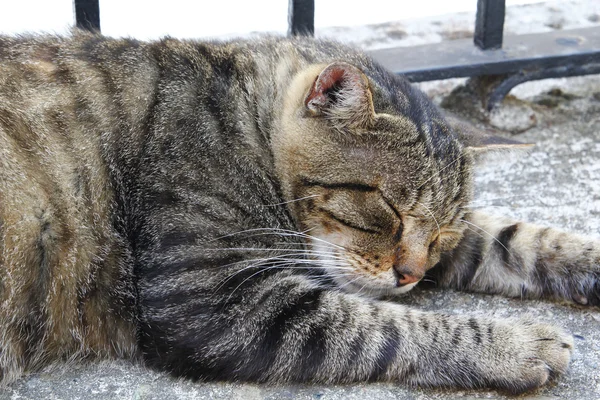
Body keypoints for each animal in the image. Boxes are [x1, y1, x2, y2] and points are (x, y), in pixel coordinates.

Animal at [0, 32, 596, 394]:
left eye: (443, 233)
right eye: (388, 207)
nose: (410, 276)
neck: (242, 123)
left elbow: (514, 238)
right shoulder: (211, 297)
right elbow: (387, 327)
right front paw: (517, 344)